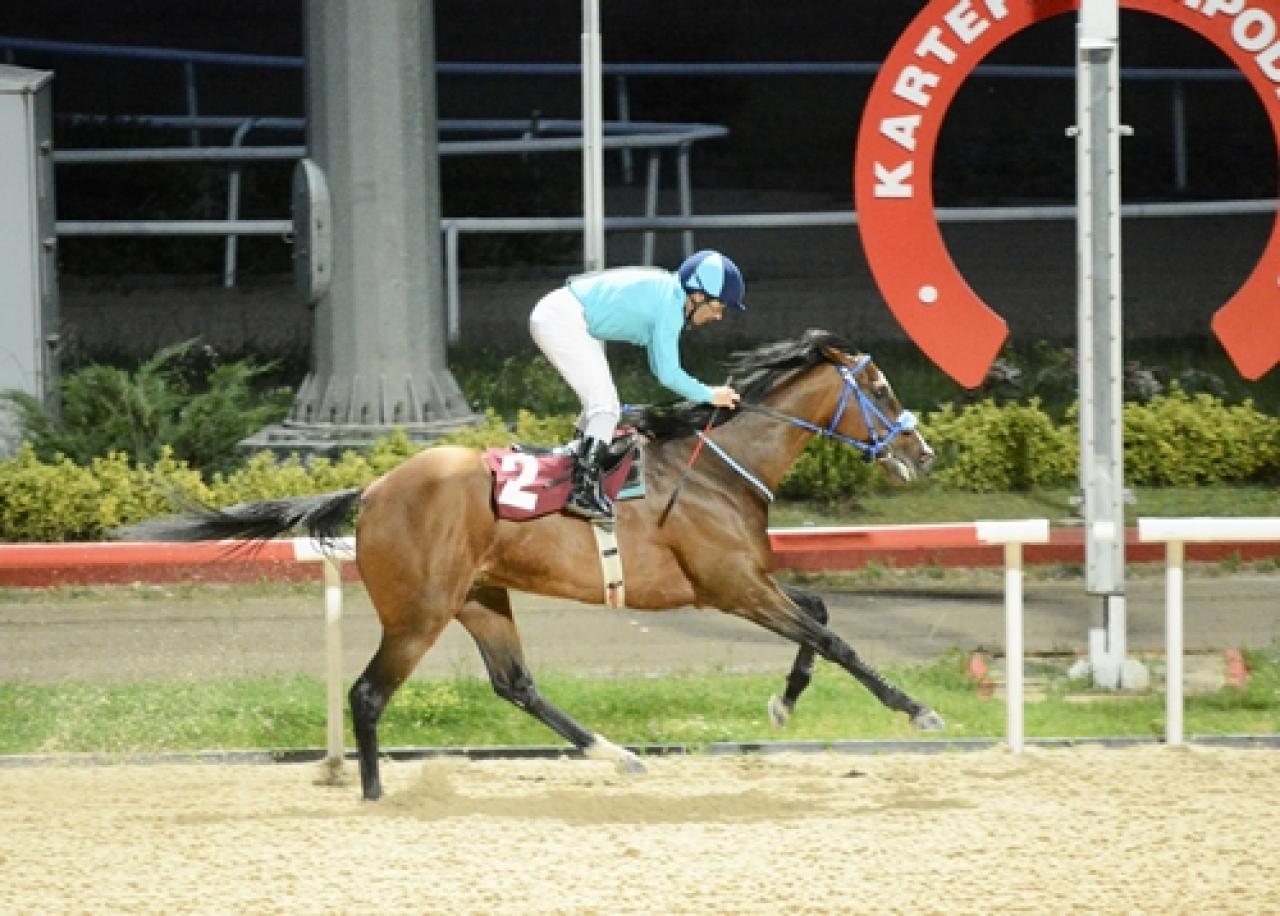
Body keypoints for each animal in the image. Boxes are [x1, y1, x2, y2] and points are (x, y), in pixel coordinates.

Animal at [120, 327, 942, 793]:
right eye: (877, 386)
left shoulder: (748, 581)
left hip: (480, 598)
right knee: (368, 694)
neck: (716, 464)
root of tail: (375, 488)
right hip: (418, 613)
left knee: (515, 683)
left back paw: (616, 755)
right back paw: (375, 794)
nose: (922, 451)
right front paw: (918, 708)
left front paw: (783, 700)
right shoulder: (731, 586)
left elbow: (820, 619)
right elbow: (833, 637)